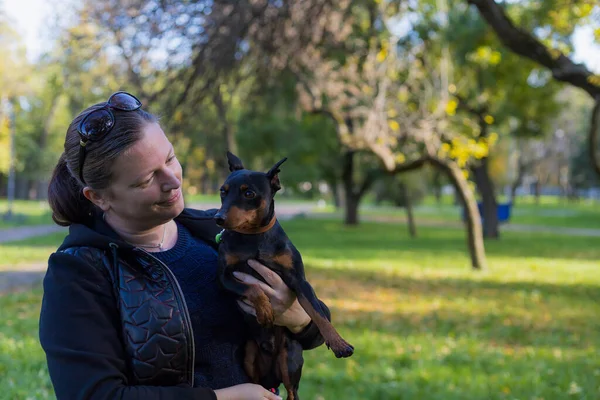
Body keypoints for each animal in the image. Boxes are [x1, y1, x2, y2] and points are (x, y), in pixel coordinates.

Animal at [214, 152, 352, 398]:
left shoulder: (300, 281)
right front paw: (265, 310)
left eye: (248, 193)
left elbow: (318, 314)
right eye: (223, 191)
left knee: (291, 392)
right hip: (250, 356)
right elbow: (253, 287)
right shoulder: (225, 277)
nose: (218, 218)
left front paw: (338, 343)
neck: (253, 238)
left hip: (290, 359)